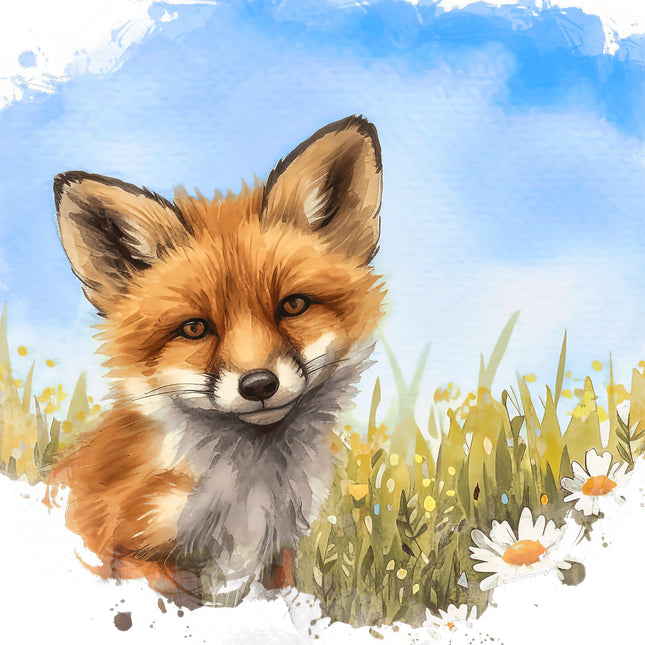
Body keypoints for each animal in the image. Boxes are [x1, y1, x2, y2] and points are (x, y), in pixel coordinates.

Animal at [48, 115, 386, 607]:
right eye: (194, 328)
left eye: (293, 305)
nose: (259, 385)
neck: (249, 493)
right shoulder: (128, 551)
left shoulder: (275, 559)